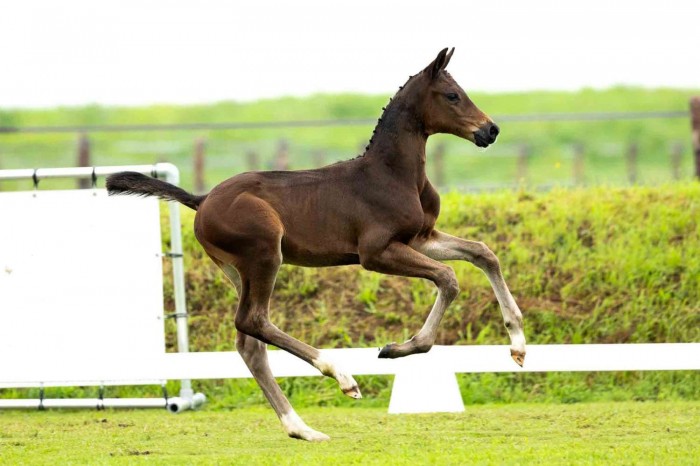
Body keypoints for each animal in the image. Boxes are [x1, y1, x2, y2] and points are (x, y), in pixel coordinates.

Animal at [106, 48, 526, 442]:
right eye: (452, 95)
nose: (490, 130)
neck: (393, 174)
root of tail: (203, 199)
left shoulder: (421, 238)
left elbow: (482, 253)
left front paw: (518, 345)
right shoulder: (376, 253)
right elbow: (448, 278)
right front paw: (397, 347)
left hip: (237, 270)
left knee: (249, 343)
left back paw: (302, 428)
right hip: (264, 255)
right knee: (253, 320)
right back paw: (341, 376)